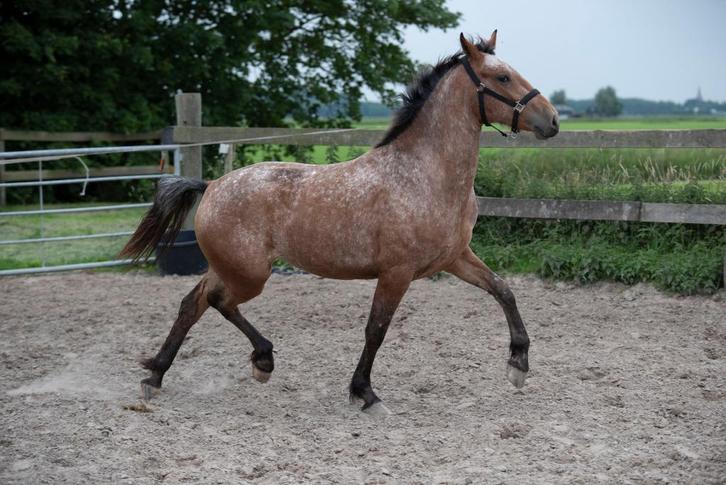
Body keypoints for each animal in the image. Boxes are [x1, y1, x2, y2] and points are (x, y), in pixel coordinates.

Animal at [121, 31, 560, 415]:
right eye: (502, 77)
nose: (552, 121)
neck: (422, 175)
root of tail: (211, 185)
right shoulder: (396, 272)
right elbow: (376, 329)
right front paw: (365, 394)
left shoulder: (455, 258)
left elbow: (503, 291)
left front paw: (518, 366)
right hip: (249, 274)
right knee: (217, 301)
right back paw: (262, 360)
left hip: (231, 268)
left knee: (192, 303)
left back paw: (156, 376)